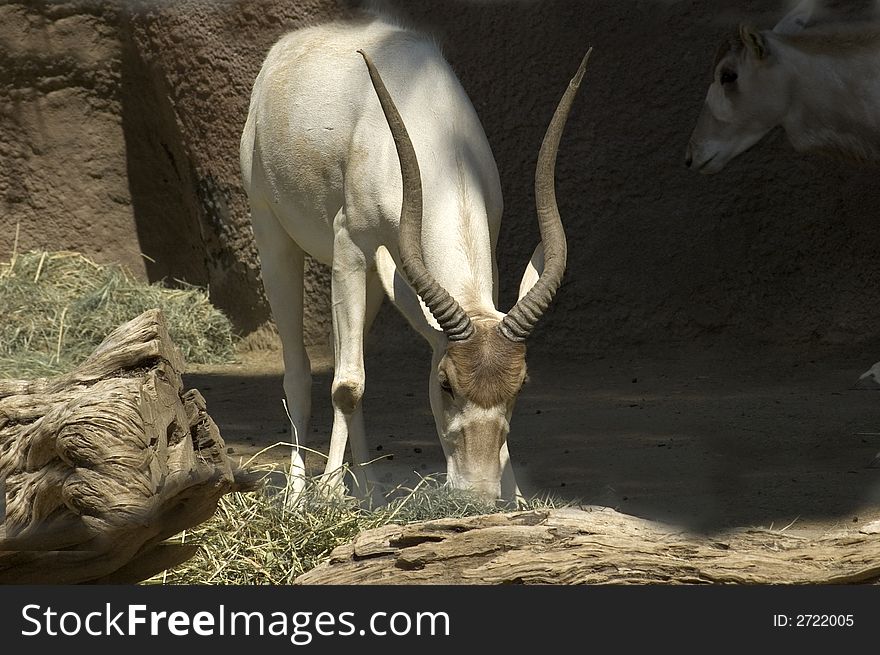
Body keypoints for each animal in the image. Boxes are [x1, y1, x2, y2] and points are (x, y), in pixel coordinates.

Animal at [239, 15, 592, 504]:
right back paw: (299, 494)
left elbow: (354, 375)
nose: (476, 495)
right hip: (274, 234)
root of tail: (286, 48)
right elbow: (347, 384)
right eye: (444, 382)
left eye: (521, 384)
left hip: (374, 278)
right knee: (303, 371)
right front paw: (327, 495)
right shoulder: (351, 245)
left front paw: (516, 496)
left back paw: (369, 490)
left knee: (348, 353)